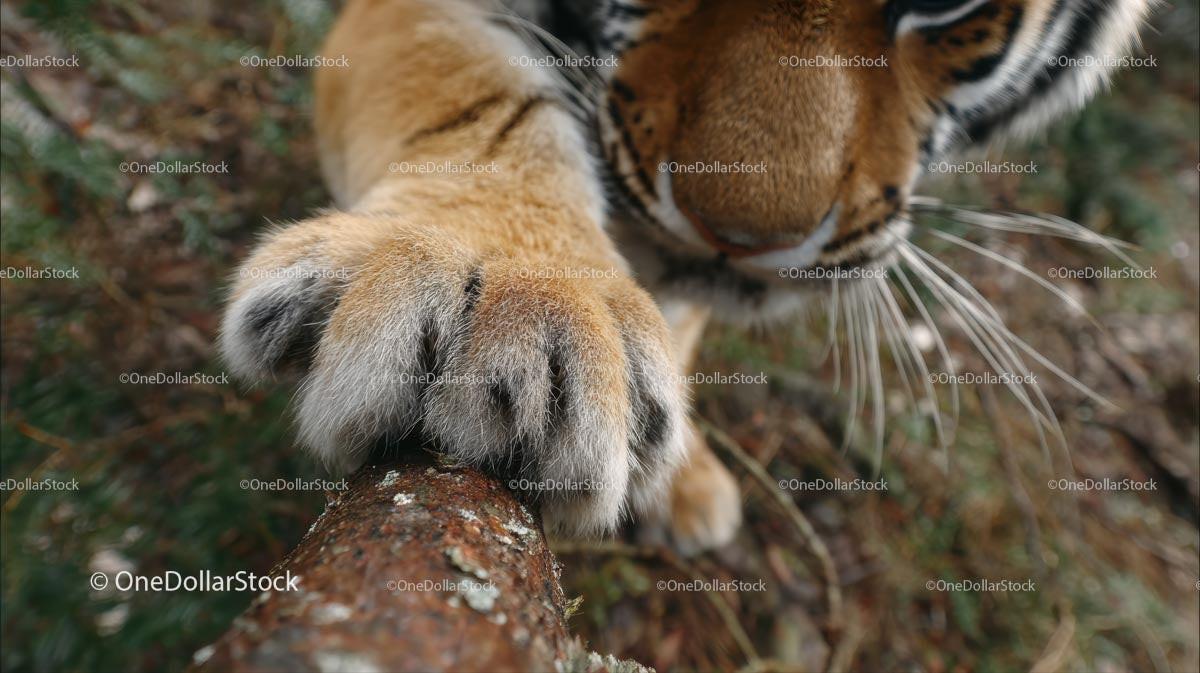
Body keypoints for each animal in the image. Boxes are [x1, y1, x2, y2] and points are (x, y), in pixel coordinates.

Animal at [219, 0, 1153, 554]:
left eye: (950, 4)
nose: (738, 236)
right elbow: (479, 98)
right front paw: (505, 290)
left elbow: (683, 322)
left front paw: (682, 470)